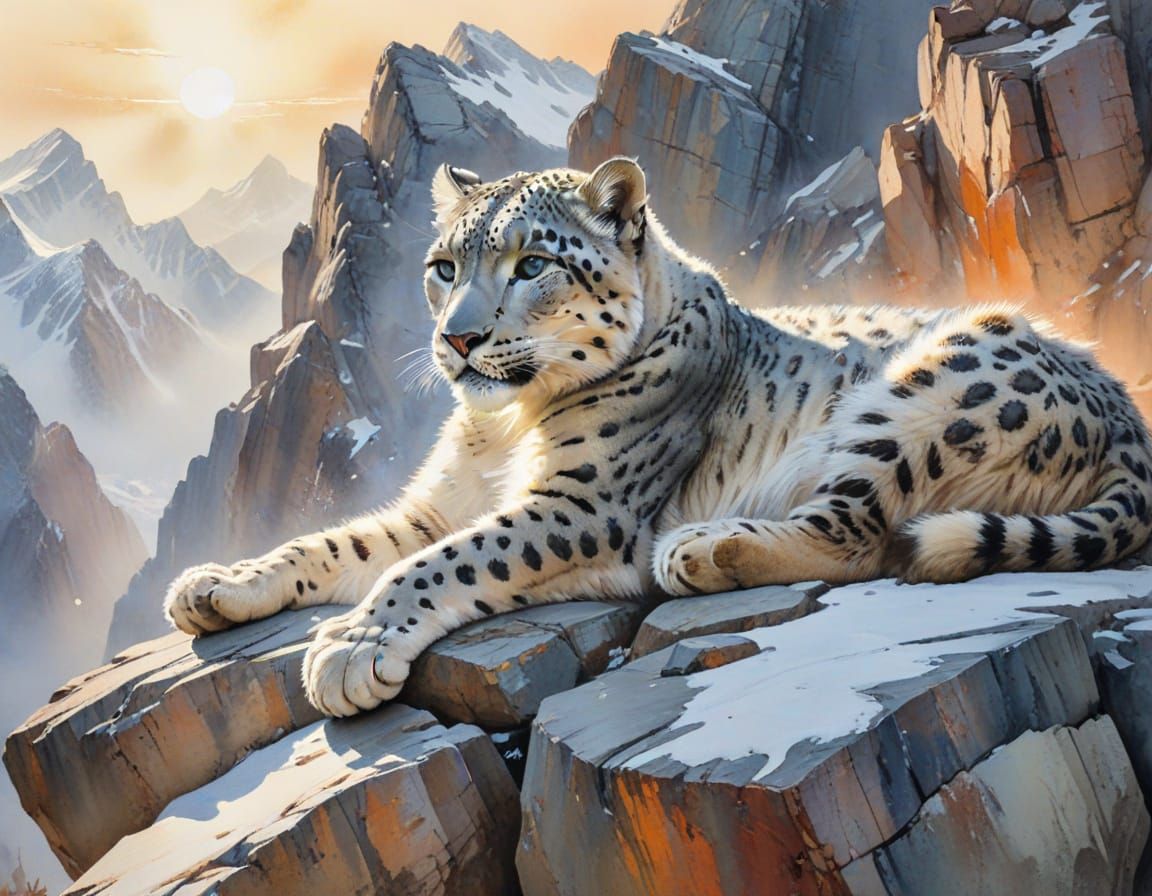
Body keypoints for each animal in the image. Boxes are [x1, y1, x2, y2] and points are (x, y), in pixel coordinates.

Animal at [165, 157, 1152, 718]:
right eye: (443, 265)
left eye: (533, 263)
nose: (459, 338)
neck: (503, 430)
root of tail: (1125, 408)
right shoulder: (438, 502)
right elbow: (339, 543)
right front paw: (218, 584)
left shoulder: (582, 504)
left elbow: (443, 562)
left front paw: (353, 650)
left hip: (930, 391)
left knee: (865, 534)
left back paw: (704, 550)